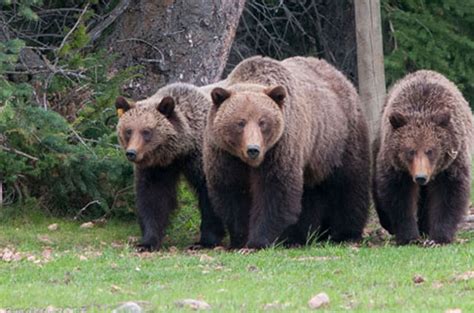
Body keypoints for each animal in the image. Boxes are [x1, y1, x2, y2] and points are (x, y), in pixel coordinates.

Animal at [115, 81, 225, 250]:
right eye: (128, 131)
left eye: (146, 131)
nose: (131, 153)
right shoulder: (157, 167)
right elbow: (153, 197)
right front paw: (147, 242)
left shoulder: (202, 159)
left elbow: (210, 196)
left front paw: (205, 241)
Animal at [204, 54, 370, 247]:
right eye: (240, 122)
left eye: (263, 122)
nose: (253, 149)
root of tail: (339, 74)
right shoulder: (225, 154)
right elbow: (233, 192)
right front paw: (241, 238)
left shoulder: (280, 147)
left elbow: (275, 190)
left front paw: (258, 241)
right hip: (314, 156)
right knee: (310, 193)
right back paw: (303, 235)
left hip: (339, 139)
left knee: (348, 183)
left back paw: (345, 233)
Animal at [374, 70, 474, 244]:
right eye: (410, 151)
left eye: (430, 150)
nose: (420, 177)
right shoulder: (397, 167)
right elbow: (400, 197)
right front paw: (409, 236)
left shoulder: (451, 164)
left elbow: (448, 195)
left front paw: (440, 236)